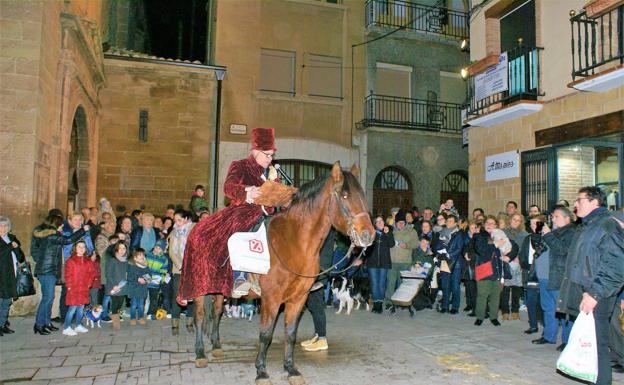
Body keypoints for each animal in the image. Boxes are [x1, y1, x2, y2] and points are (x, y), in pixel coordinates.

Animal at [190, 163, 376, 384]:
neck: (294, 241)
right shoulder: (271, 298)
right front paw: (261, 371)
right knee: (200, 316)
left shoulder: (298, 298)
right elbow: (265, 334)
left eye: (362, 196)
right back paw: (200, 354)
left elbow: (290, 333)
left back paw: (217, 346)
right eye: (345, 196)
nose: (369, 235)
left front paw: (291, 369)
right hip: (199, 285)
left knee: (216, 312)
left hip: (219, 288)